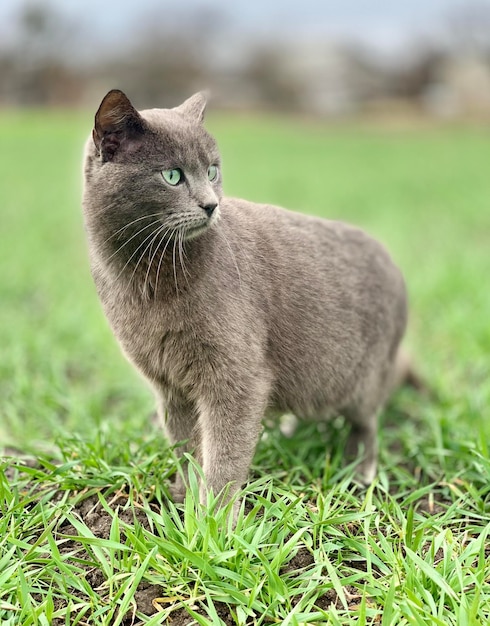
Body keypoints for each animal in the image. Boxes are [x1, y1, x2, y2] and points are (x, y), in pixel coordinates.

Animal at [83, 88, 410, 516]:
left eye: (212, 171)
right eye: (172, 175)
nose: (211, 205)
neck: (148, 274)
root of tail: (395, 266)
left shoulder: (237, 376)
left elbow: (225, 452)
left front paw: (215, 519)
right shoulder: (168, 384)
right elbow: (185, 446)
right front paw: (184, 499)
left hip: (364, 376)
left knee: (367, 422)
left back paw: (360, 467)